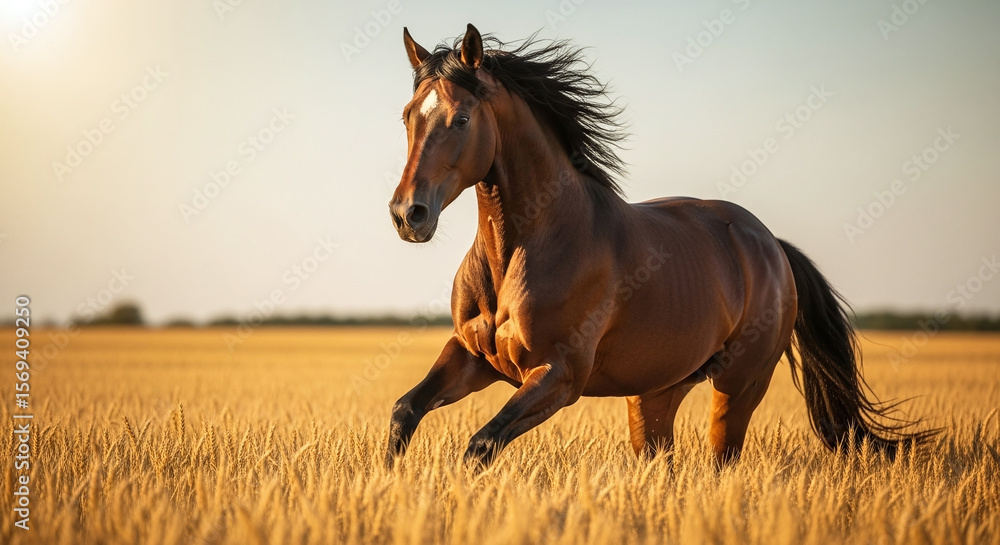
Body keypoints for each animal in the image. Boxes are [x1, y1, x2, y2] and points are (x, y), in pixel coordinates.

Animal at [385, 24, 931, 469]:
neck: (522, 250)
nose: (408, 215)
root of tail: (771, 245)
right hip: (654, 395)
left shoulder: (559, 376)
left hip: (739, 388)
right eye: (408, 116)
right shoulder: (473, 358)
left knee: (722, 461)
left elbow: (480, 445)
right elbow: (404, 411)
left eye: (460, 119)